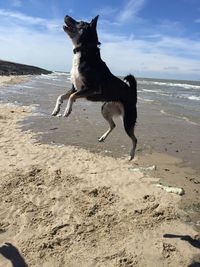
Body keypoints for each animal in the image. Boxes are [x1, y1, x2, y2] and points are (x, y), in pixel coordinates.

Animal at [52, 14, 138, 160]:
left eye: (80, 22)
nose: (66, 15)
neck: (83, 51)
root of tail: (133, 93)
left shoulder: (91, 88)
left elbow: (72, 97)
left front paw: (67, 110)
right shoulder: (75, 87)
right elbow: (61, 96)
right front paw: (56, 109)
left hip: (128, 120)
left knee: (134, 139)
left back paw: (131, 155)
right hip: (105, 109)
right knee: (113, 125)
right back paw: (103, 138)